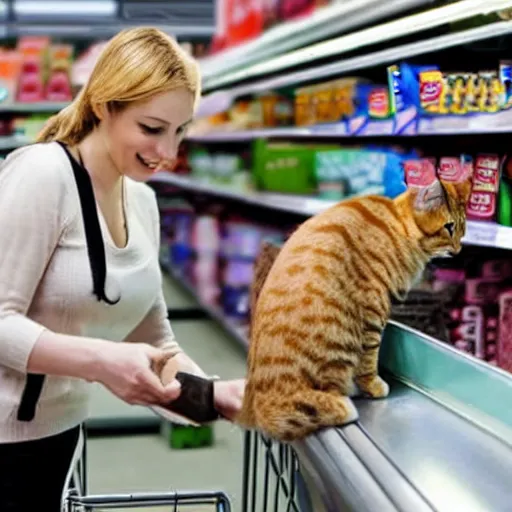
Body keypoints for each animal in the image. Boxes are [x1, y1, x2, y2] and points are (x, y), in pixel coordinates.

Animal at [236, 174, 472, 442]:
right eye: (449, 227)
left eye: (462, 230)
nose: (458, 250)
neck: (397, 225)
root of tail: (256, 412)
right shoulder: (374, 310)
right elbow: (369, 360)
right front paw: (373, 385)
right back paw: (343, 405)